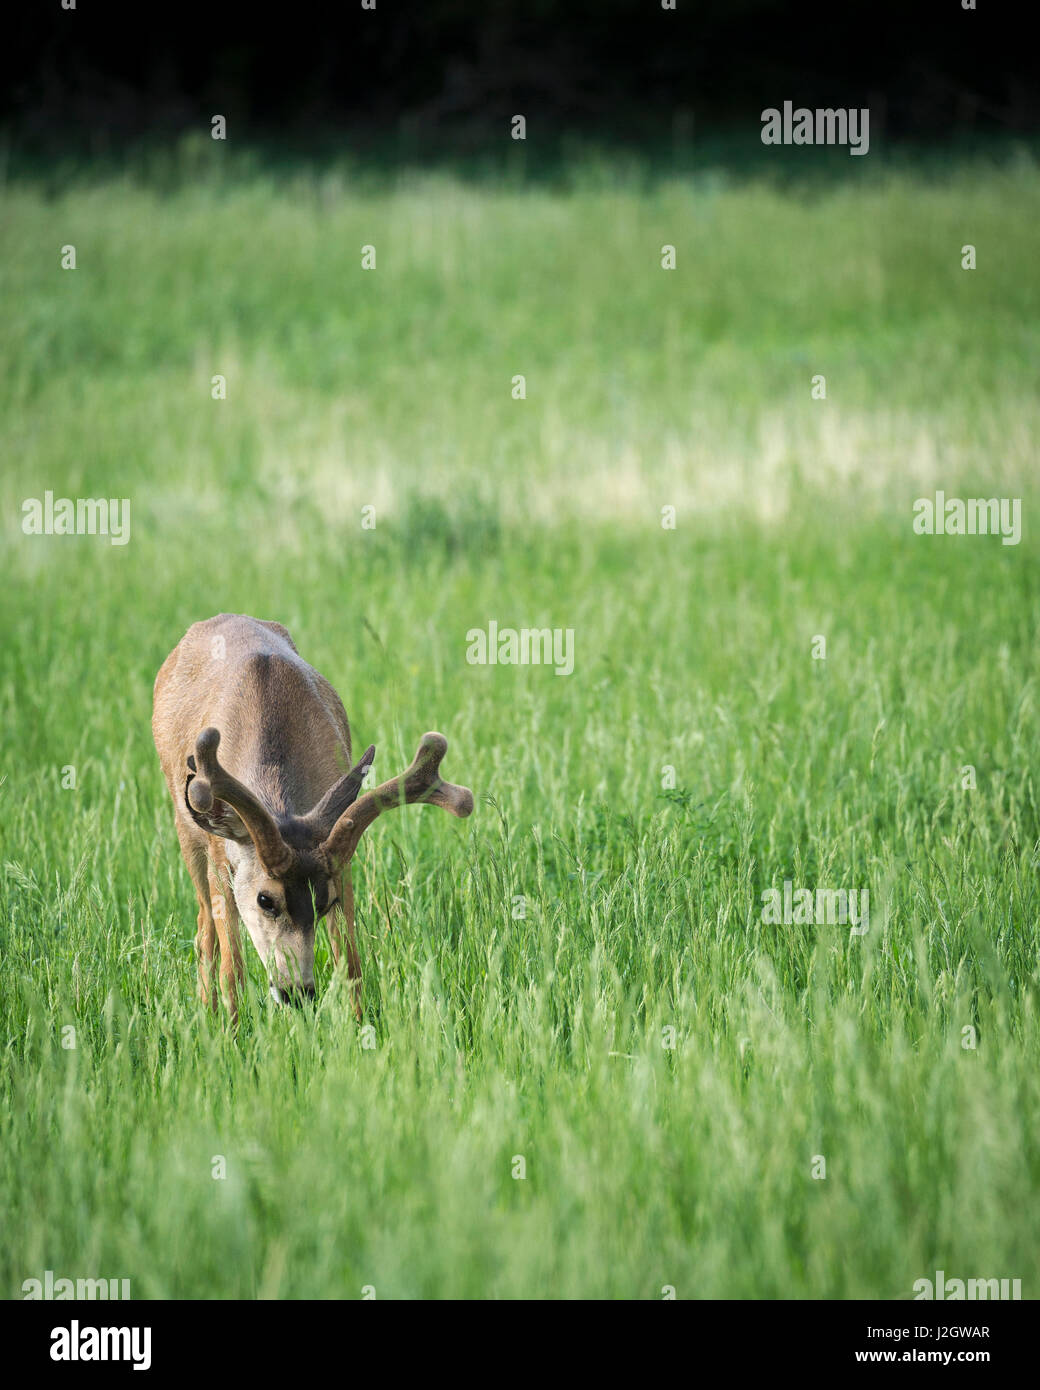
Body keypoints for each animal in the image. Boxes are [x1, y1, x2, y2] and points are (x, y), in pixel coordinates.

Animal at [152, 613, 473, 1018]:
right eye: (266, 900)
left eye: (324, 902)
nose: (297, 992)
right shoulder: (221, 857)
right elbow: (232, 969)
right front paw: (231, 1029)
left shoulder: (340, 861)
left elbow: (349, 959)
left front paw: (359, 1022)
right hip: (187, 833)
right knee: (204, 927)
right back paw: (207, 1011)